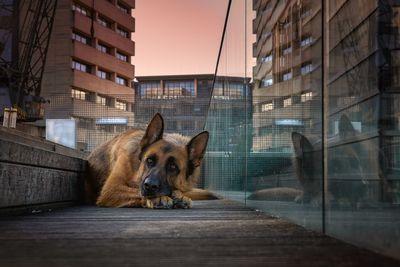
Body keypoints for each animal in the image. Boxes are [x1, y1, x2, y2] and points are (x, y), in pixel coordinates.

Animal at [84, 113, 212, 209]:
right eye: (149, 160)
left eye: (173, 166)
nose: (150, 185)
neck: (136, 169)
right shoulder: (112, 189)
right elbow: (137, 191)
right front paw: (160, 198)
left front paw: (180, 196)